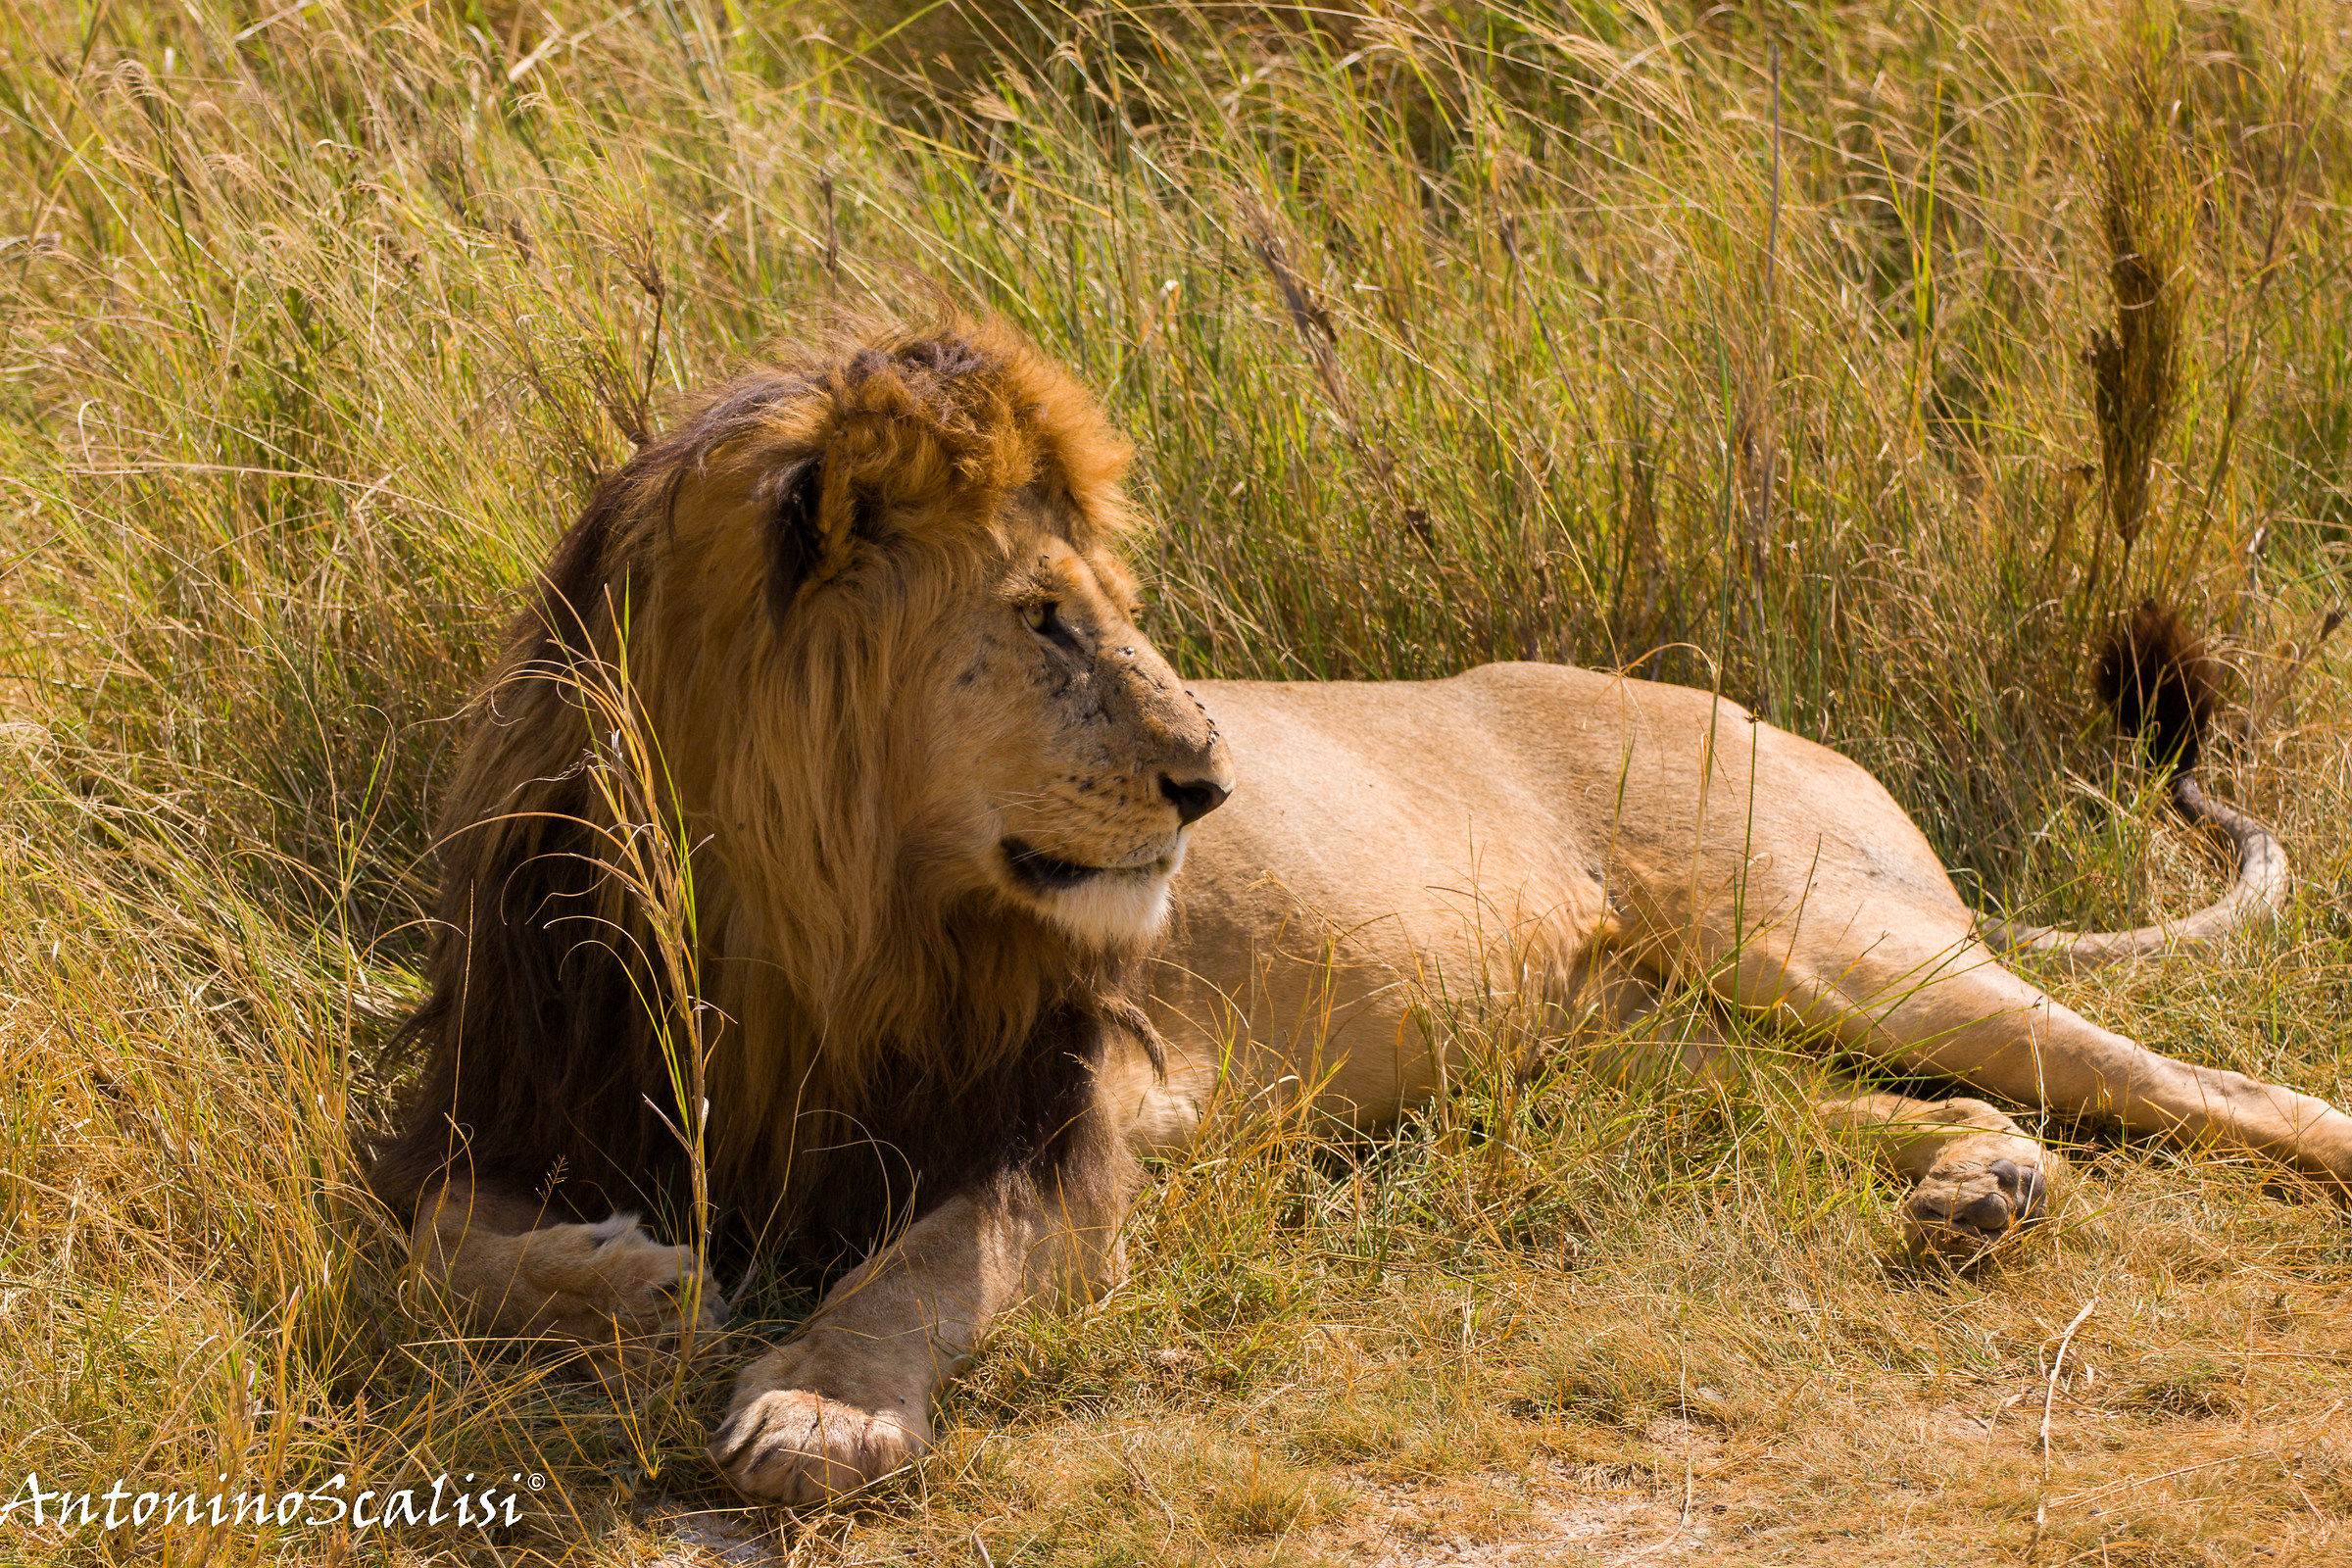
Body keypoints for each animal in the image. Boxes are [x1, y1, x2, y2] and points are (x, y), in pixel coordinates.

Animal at [372, 315, 2352, 1507]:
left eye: (1116, 604)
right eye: (1044, 621)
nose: (1211, 781)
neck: (813, 915)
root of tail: (1767, 715)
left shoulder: (1069, 1115)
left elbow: (920, 1263)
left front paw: (817, 1402)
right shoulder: (495, 1093)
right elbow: (428, 1251)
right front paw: (633, 1280)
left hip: (1822, 938)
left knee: (2189, 1082)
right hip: (1624, 1050)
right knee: (1830, 1105)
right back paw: (1974, 1184)